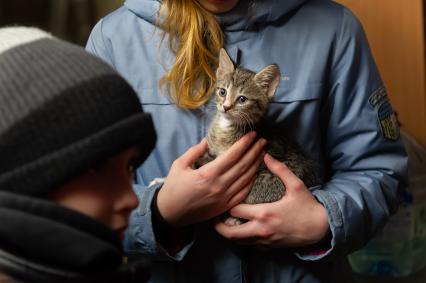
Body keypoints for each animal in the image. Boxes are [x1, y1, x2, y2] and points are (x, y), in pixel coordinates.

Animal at [198, 48, 322, 226]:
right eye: (222, 92)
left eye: (242, 99)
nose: (226, 107)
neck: (226, 127)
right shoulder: (213, 152)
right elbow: (203, 160)